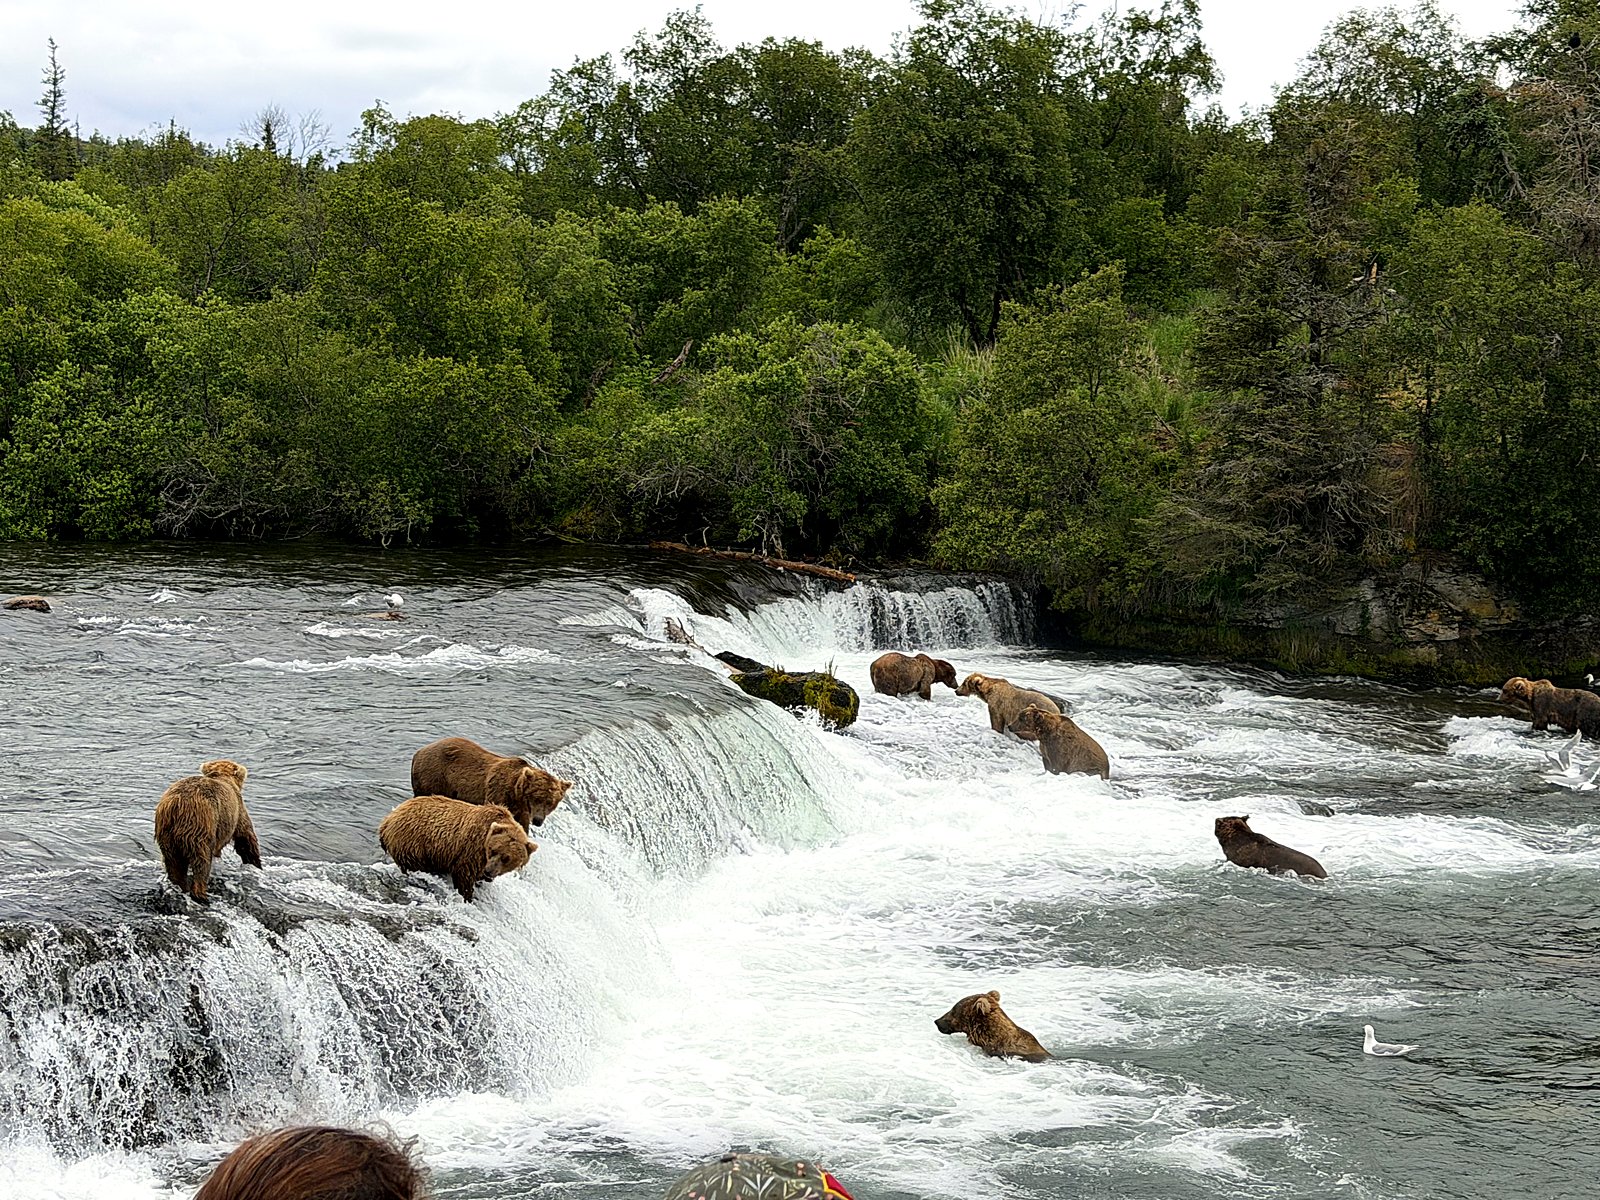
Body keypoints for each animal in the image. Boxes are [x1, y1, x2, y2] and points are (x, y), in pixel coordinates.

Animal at [154, 759, 262, 902]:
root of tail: (175, 804)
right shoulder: (238, 812)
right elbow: (245, 838)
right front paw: (256, 864)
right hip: (201, 824)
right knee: (202, 860)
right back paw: (201, 893)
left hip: (166, 833)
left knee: (174, 863)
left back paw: (180, 885)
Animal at [378, 796, 537, 902]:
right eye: (493, 850)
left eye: (506, 858)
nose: (488, 871)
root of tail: (387, 820)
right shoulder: (471, 851)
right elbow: (464, 876)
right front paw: (467, 896)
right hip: (413, 844)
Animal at [410, 736, 573, 831]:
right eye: (537, 798)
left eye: (550, 803)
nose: (538, 820)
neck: (516, 794)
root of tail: (419, 751)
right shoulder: (498, 793)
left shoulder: (522, 811)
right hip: (435, 775)